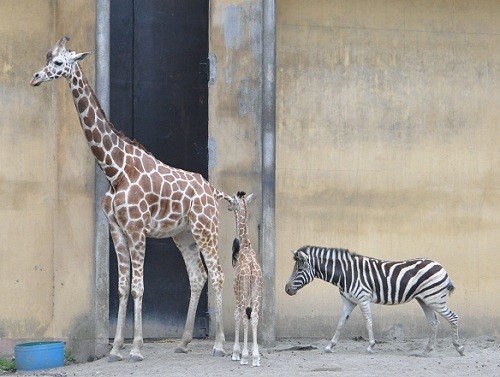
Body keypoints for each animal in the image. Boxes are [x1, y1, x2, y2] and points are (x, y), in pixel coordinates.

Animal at [29, 36, 229, 360]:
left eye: (59, 62)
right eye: (46, 57)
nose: (35, 77)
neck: (115, 169)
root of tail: (213, 191)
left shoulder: (137, 230)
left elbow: (138, 287)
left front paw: (135, 347)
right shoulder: (116, 230)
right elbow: (122, 287)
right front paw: (116, 348)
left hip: (206, 228)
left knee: (218, 273)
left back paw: (220, 345)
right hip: (183, 234)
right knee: (198, 275)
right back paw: (183, 342)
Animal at [286, 245, 464, 354]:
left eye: (300, 269)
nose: (287, 289)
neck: (346, 273)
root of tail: (440, 266)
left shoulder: (363, 298)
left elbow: (368, 321)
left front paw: (370, 346)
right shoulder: (349, 301)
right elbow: (341, 323)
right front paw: (330, 346)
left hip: (435, 299)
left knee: (453, 317)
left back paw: (459, 348)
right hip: (425, 300)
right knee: (434, 323)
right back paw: (427, 350)